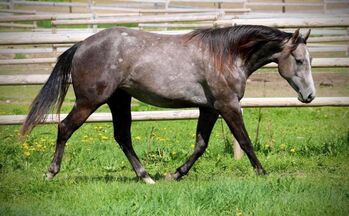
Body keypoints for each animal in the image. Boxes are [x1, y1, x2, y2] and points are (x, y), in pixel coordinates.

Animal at [22, 25, 316, 184]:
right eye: (299, 60)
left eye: (309, 60)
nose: (310, 96)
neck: (226, 56)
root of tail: (82, 45)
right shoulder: (228, 105)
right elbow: (244, 141)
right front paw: (263, 173)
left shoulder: (209, 108)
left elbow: (200, 145)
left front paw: (175, 175)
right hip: (90, 101)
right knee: (65, 128)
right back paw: (50, 173)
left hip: (119, 100)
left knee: (122, 137)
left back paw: (147, 177)